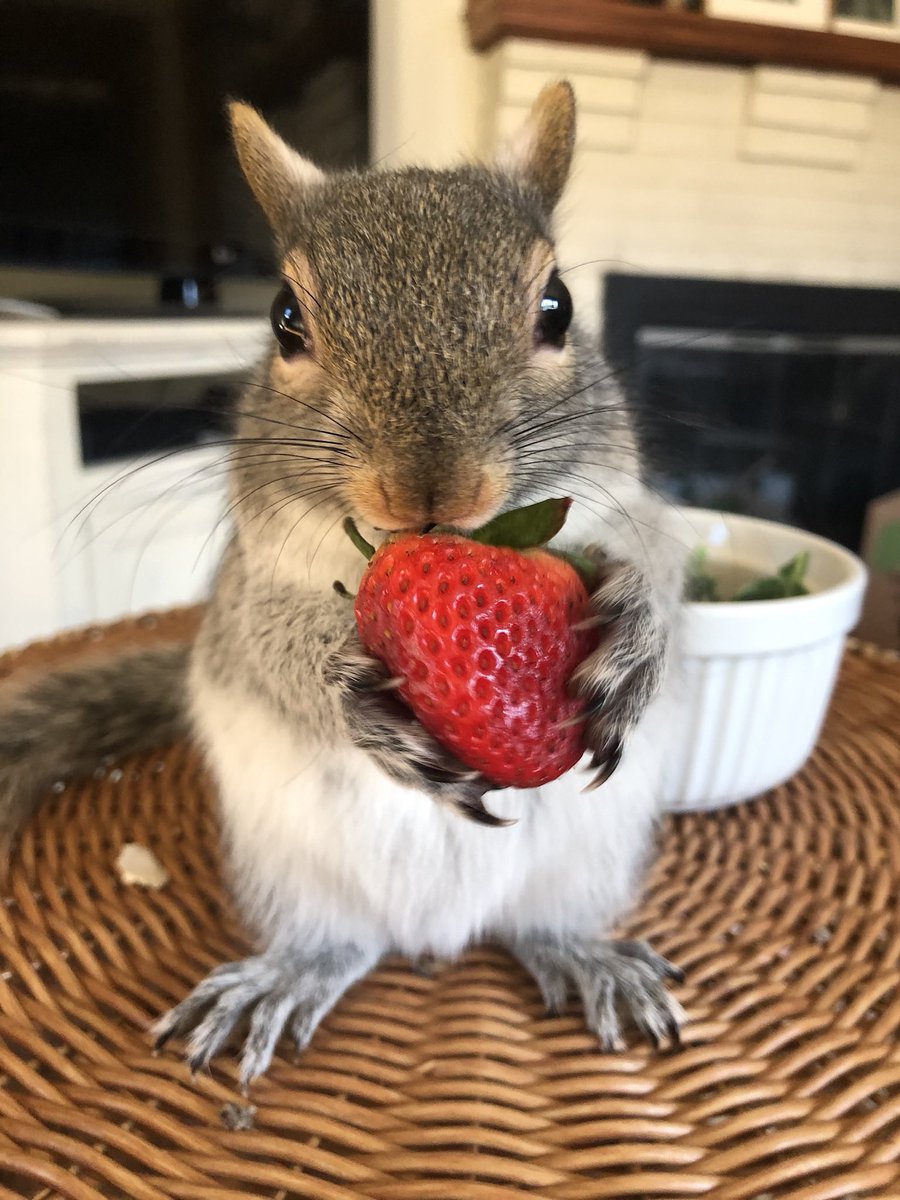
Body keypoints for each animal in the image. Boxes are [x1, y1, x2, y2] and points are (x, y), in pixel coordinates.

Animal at [0, 82, 688, 1086]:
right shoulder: (243, 585)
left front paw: (638, 627)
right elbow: (264, 642)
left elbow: (669, 567)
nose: (431, 490)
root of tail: (441, 935)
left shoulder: (633, 507)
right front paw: (343, 681)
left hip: (585, 864)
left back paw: (584, 953)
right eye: (285, 318)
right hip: (293, 871)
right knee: (339, 943)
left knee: (541, 925)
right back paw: (287, 977)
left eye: (559, 307)